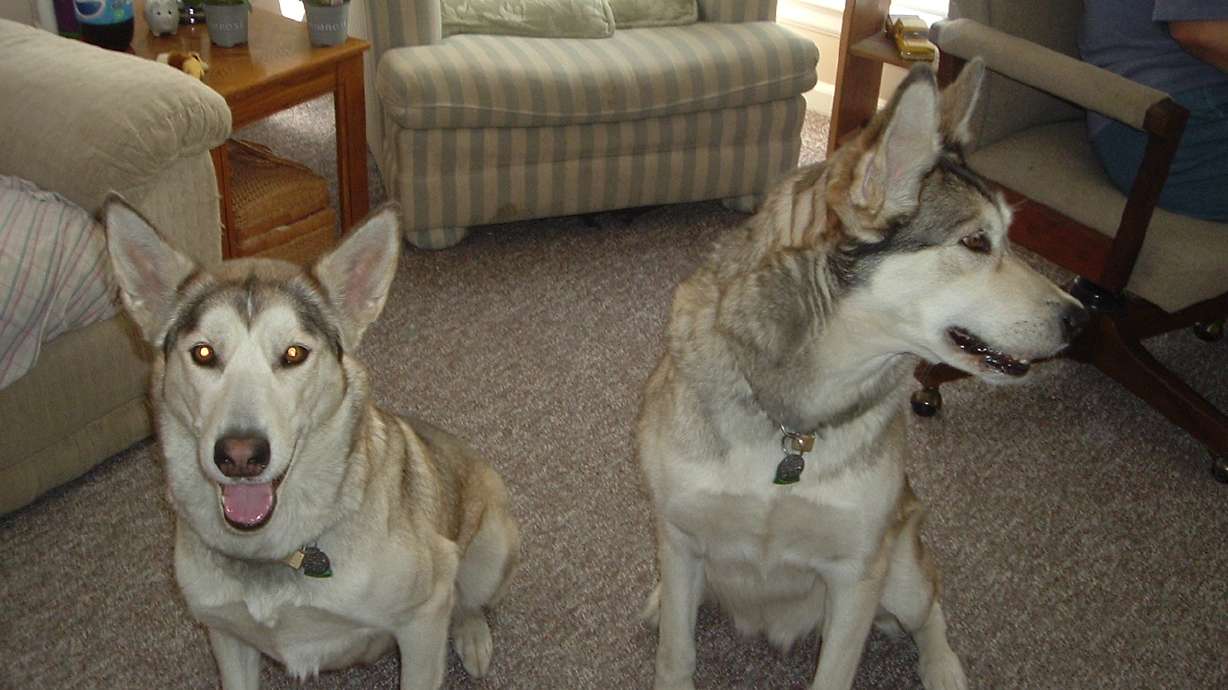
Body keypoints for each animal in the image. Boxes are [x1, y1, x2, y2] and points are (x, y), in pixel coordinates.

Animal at [104, 201, 520, 690]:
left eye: (294, 354)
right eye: (204, 353)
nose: (241, 455)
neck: (277, 551)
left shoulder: (423, 618)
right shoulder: (226, 634)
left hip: (490, 549)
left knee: (469, 601)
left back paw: (472, 635)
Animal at [637, 60, 1087, 690]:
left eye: (1010, 238)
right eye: (977, 242)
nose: (1081, 319)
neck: (792, 426)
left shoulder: (856, 576)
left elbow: (837, 670)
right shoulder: (680, 539)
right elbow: (676, 655)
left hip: (902, 574)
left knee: (931, 606)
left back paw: (943, 668)